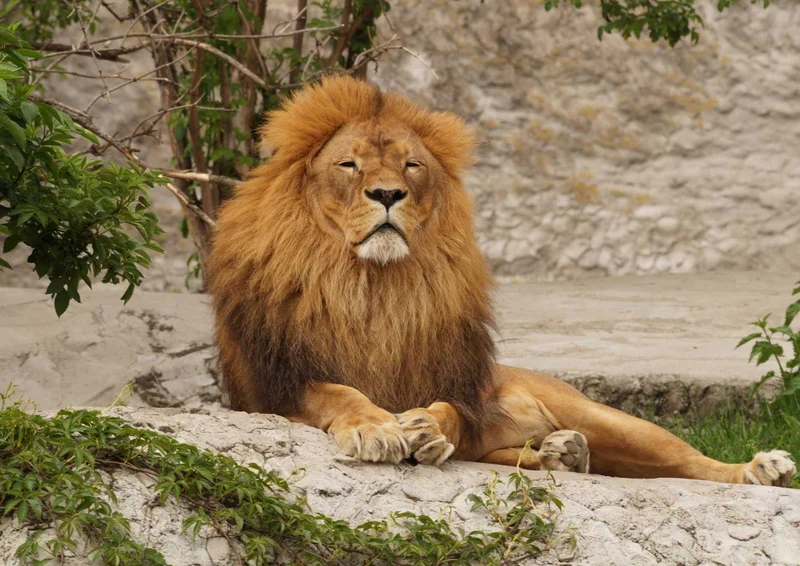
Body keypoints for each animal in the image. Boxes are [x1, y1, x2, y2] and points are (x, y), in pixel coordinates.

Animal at [208, 76, 795, 487]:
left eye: (412, 165)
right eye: (349, 165)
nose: (388, 194)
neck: (373, 284)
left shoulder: (462, 385)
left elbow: (450, 410)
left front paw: (428, 429)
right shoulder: (271, 386)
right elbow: (337, 392)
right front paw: (376, 427)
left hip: (609, 418)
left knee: (687, 461)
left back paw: (759, 469)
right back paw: (563, 455)